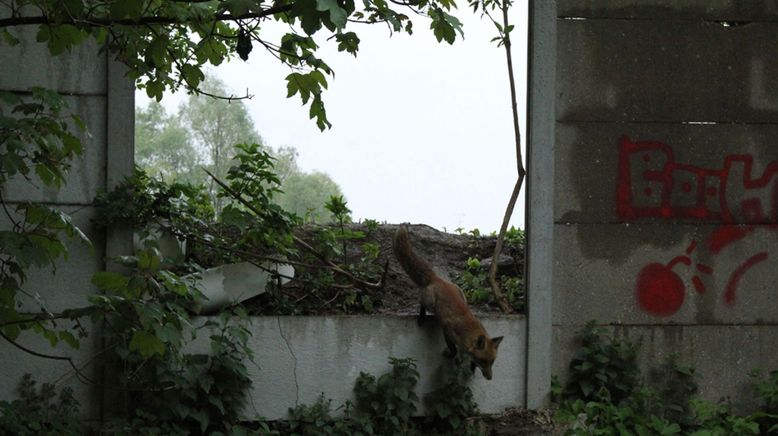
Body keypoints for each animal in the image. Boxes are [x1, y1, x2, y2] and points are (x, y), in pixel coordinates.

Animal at [394, 225, 504, 378]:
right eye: (483, 360)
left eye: (492, 361)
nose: (489, 377)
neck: (467, 332)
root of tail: (437, 278)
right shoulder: (447, 329)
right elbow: (454, 350)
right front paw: (449, 355)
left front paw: (471, 367)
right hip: (430, 302)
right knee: (421, 301)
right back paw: (421, 317)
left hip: (461, 294)